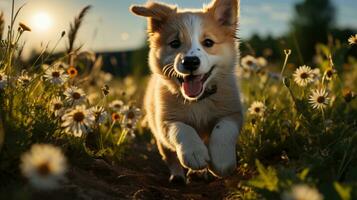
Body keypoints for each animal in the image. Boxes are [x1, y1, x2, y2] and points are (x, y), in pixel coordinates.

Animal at [129, 0, 243, 182]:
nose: (190, 61)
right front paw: (194, 153)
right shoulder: (165, 121)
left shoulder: (233, 113)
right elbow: (183, 129)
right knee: (170, 157)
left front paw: (221, 160)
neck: (196, 101)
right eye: (175, 43)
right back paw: (178, 176)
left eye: (208, 42)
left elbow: (223, 129)